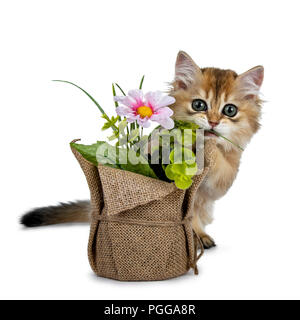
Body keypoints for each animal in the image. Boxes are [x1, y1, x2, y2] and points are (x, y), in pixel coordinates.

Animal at [20, 50, 262, 250]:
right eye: (199, 105)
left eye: (229, 110)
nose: (212, 122)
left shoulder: (220, 182)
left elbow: (218, 160)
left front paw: (208, 145)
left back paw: (200, 237)